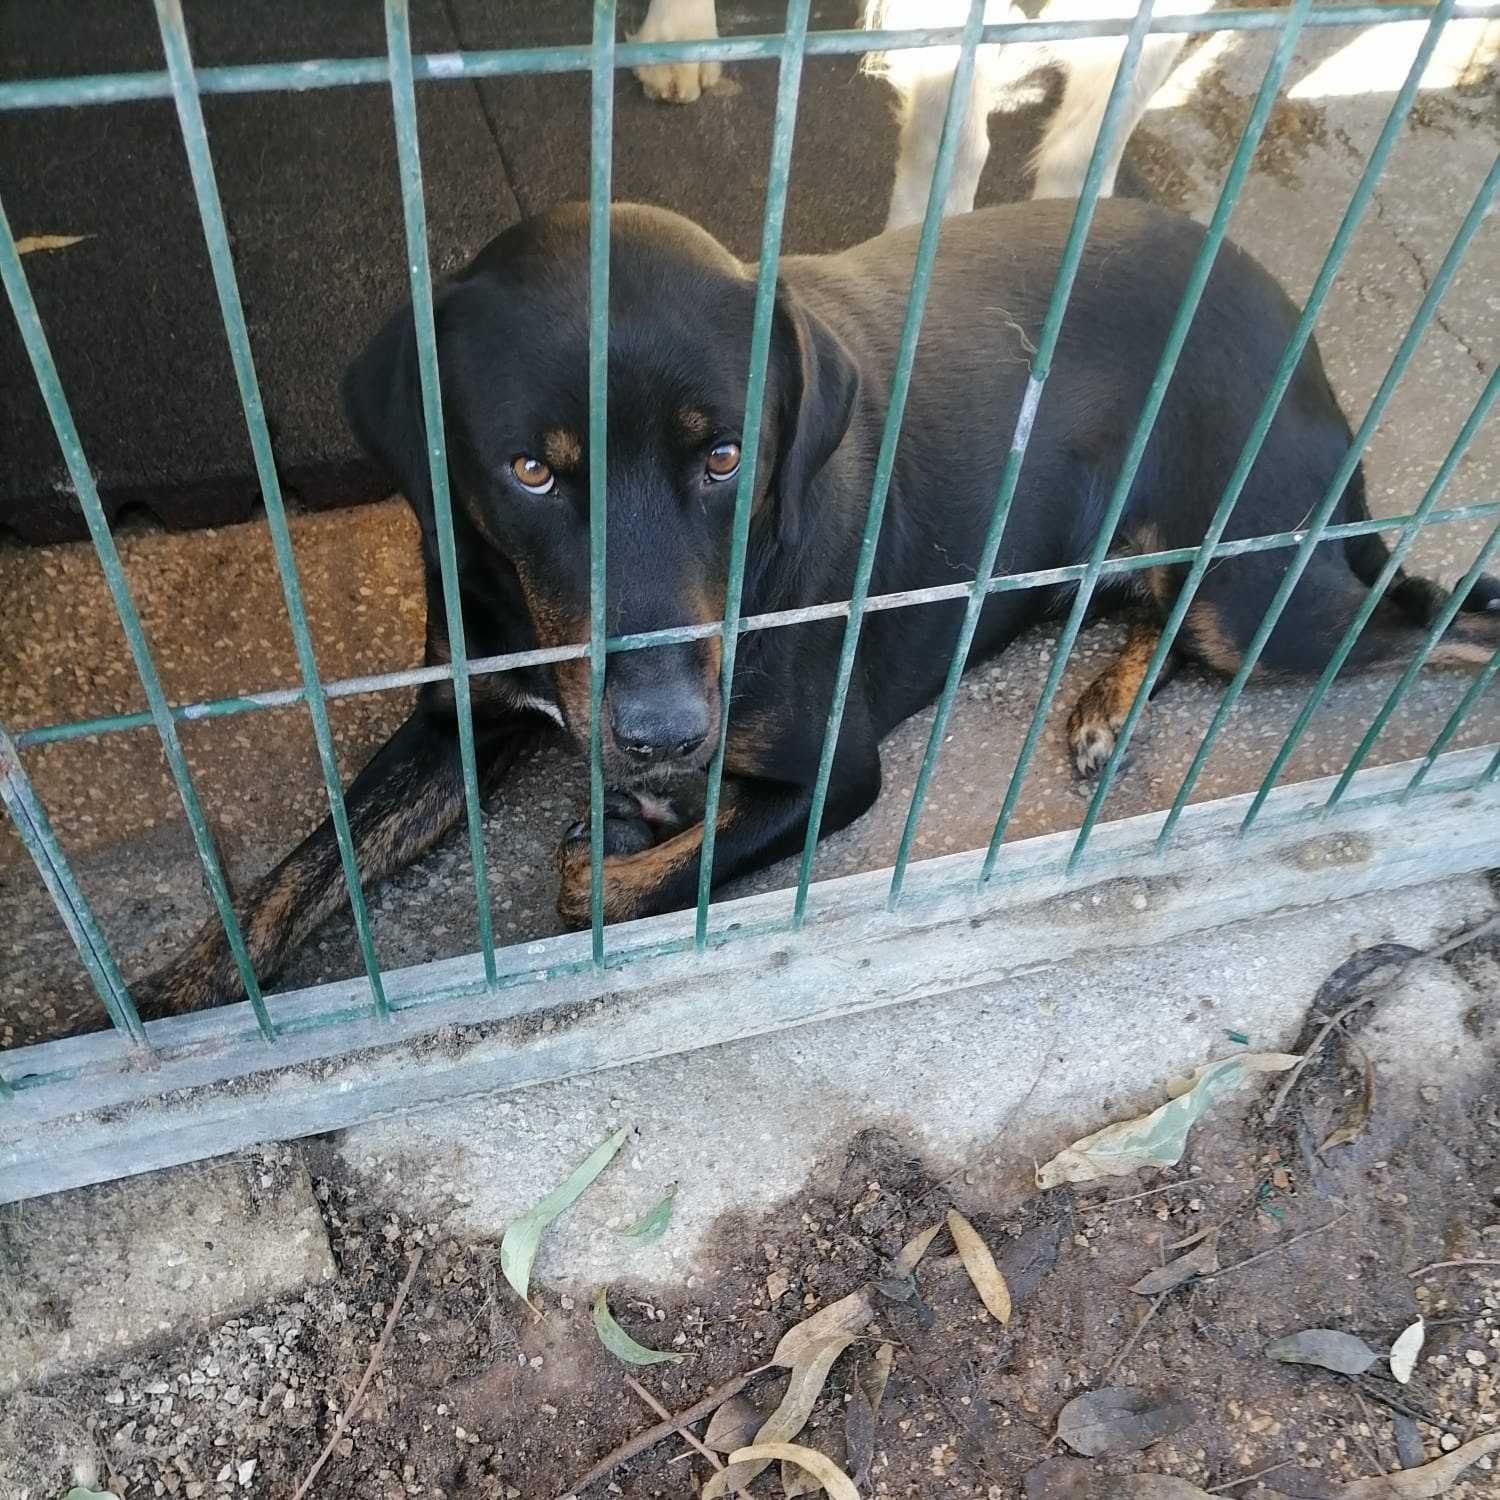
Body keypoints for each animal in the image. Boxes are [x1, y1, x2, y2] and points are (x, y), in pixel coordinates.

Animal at [135, 199, 1494, 1014]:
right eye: (529, 470)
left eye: (727, 457)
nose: (664, 733)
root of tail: (1283, 307)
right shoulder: (461, 712)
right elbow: (303, 867)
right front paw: (171, 995)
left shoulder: (834, 771)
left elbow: (607, 883)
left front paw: (625, 831)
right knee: (1174, 611)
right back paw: (1106, 703)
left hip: (1266, 595)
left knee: (1431, 607)